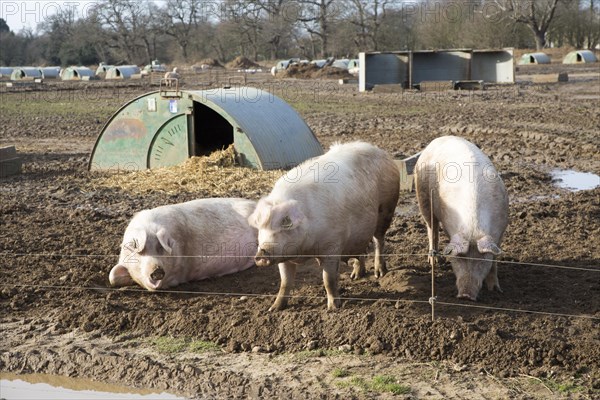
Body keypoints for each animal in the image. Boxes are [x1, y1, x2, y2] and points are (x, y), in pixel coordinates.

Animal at [246, 142, 400, 310]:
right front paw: (274, 308)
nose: (262, 253)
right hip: (360, 231)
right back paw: (355, 276)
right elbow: (285, 282)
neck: (304, 252)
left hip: (386, 209)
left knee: (379, 241)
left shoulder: (332, 246)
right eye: (261, 228)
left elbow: (328, 278)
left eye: (285, 224)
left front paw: (333, 308)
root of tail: (381, 152)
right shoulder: (283, 256)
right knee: (361, 249)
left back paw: (380, 273)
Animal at [414, 136, 508, 302]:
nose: (466, 296)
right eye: (458, 259)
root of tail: (437, 139)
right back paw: (433, 261)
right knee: (432, 229)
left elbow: (494, 262)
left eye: (481, 261)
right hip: (423, 198)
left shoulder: (500, 231)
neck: (473, 228)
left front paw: (496, 290)